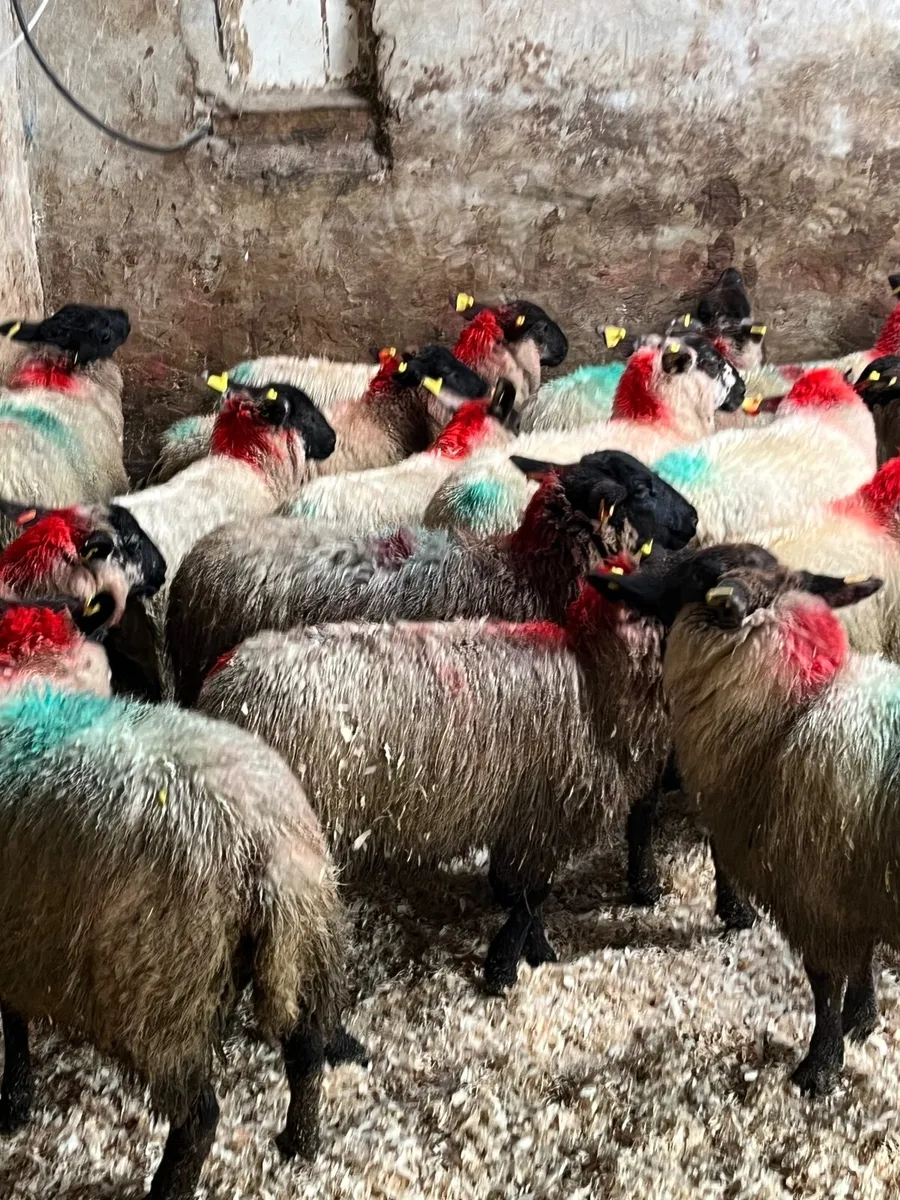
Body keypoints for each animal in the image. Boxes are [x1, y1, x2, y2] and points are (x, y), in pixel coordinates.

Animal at [0, 597, 349, 1198]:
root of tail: (262, 841)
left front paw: (9, 1105)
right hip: (306, 945)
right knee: (307, 1055)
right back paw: (299, 1144)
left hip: (164, 998)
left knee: (199, 1120)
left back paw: (168, 1187)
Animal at [592, 544, 893, 1095]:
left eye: (687, 579)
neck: (798, 712)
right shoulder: (848, 887)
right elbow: (862, 958)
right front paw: (862, 1021)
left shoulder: (817, 889)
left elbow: (827, 980)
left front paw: (820, 1066)